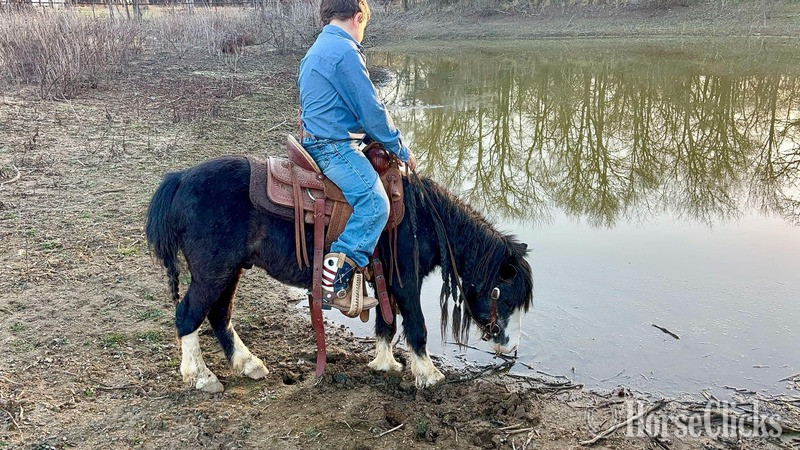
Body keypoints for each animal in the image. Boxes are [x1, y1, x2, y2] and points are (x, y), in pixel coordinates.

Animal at [145, 155, 533, 392]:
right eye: (505, 294)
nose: (512, 347)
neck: (422, 216)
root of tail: (180, 179)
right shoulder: (406, 280)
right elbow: (416, 325)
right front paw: (428, 374)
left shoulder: (386, 280)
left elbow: (386, 323)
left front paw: (384, 363)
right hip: (212, 272)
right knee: (188, 315)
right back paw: (201, 377)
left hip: (230, 271)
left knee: (219, 315)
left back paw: (248, 364)